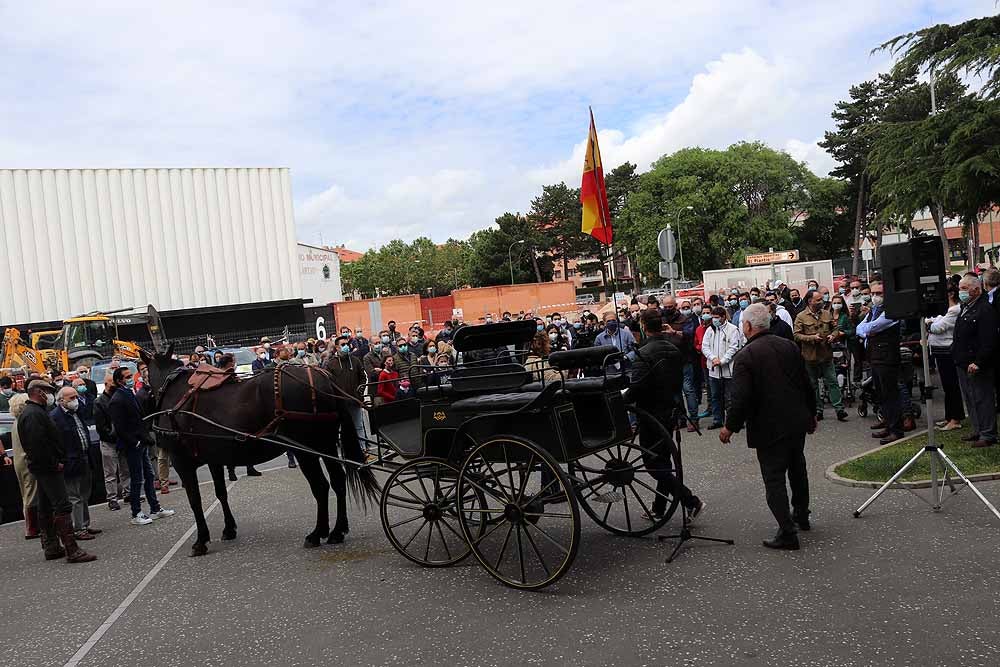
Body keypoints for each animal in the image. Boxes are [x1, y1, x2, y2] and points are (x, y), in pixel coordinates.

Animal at [139, 348, 376, 556]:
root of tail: (323, 377)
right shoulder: (214, 459)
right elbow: (221, 493)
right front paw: (229, 528)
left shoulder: (183, 462)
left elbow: (195, 501)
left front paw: (201, 540)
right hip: (324, 444)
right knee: (337, 481)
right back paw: (337, 530)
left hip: (305, 450)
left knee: (321, 486)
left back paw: (318, 533)